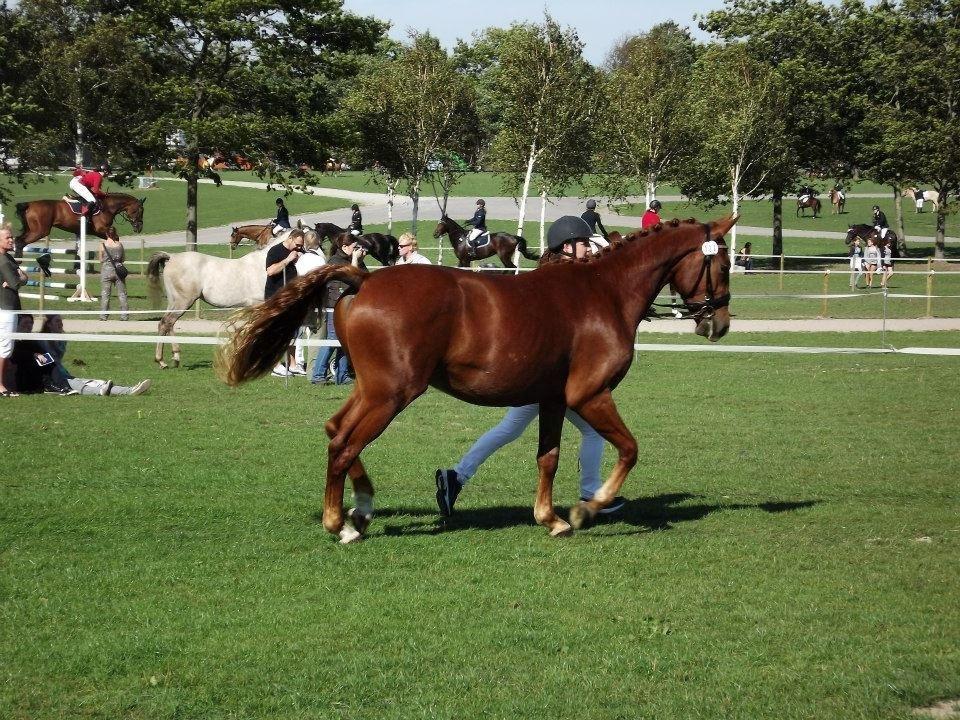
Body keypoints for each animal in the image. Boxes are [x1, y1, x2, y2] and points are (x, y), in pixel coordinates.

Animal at [15, 193, 146, 258]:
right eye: (140, 210)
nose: (139, 227)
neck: (108, 207)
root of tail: (29, 205)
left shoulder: (97, 232)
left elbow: (114, 237)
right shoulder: (101, 228)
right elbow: (114, 234)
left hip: (32, 230)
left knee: (18, 239)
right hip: (40, 231)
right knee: (21, 241)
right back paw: (18, 259)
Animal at [214, 217, 732, 544]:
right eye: (723, 265)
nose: (719, 324)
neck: (602, 292)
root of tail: (364, 279)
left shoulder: (553, 400)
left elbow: (549, 458)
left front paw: (551, 518)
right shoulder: (590, 396)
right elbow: (629, 448)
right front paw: (588, 508)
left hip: (373, 390)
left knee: (336, 431)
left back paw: (362, 508)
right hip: (392, 395)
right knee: (343, 444)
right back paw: (340, 523)